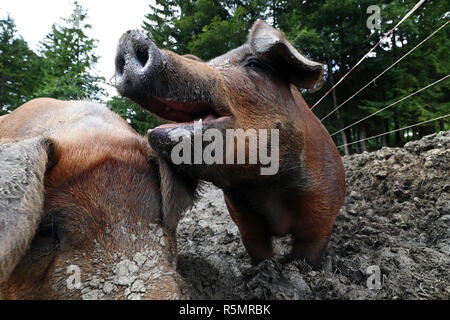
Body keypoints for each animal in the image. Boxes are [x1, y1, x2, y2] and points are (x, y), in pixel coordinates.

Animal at [114, 18, 346, 266]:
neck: (267, 189)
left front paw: (296, 268)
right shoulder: (244, 222)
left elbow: (308, 255)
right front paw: (266, 267)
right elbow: (259, 251)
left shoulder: (322, 216)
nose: (128, 37)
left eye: (255, 64)